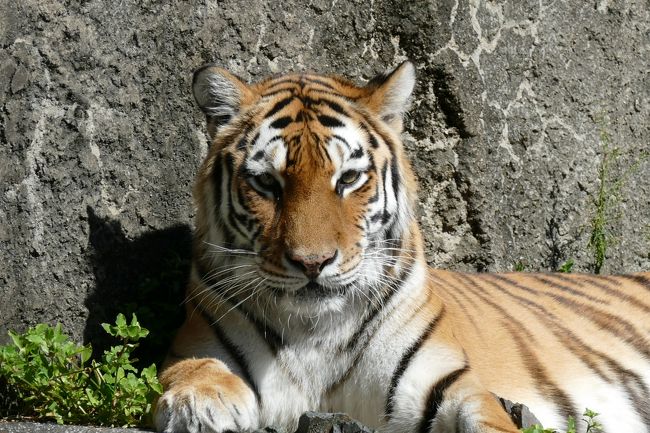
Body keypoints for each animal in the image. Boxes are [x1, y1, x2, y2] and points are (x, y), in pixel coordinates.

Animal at [154, 61, 648, 432]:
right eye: (266, 184)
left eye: (348, 179)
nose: (313, 263)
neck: (314, 333)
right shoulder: (195, 342)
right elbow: (193, 371)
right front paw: (199, 406)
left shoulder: (445, 384)